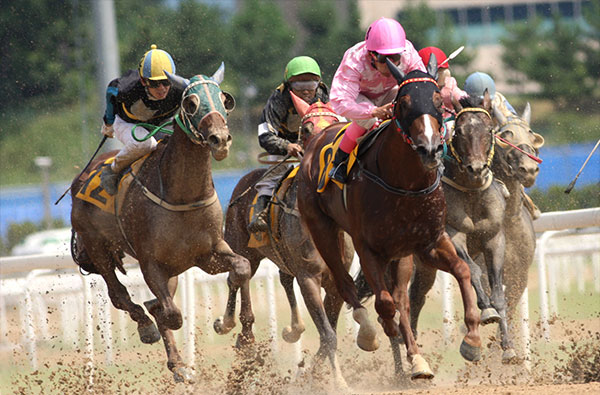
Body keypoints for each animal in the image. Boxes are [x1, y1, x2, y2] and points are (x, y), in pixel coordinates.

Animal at [71, 65, 253, 384]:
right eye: (190, 103)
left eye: (224, 100)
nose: (220, 139)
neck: (182, 194)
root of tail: (78, 181)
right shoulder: (150, 262)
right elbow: (170, 313)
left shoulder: (206, 254)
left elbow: (241, 267)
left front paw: (232, 327)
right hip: (96, 247)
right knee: (119, 294)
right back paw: (146, 326)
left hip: (173, 268)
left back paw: (178, 364)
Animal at [216, 96, 354, 386]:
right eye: (307, 130)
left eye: (338, 125)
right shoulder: (309, 276)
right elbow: (328, 334)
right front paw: (339, 382)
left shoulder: (337, 281)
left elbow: (329, 333)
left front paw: (312, 377)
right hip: (241, 245)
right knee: (238, 277)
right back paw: (235, 329)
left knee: (282, 277)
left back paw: (292, 328)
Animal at [296, 64, 482, 380]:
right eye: (403, 103)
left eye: (437, 100)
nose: (430, 149)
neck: (405, 184)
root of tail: (315, 141)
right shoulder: (367, 248)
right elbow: (383, 302)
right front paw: (379, 330)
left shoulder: (427, 243)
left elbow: (461, 270)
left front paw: (471, 338)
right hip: (323, 230)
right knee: (345, 284)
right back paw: (370, 331)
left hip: (399, 255)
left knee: (400, 300)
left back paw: (416, 359)